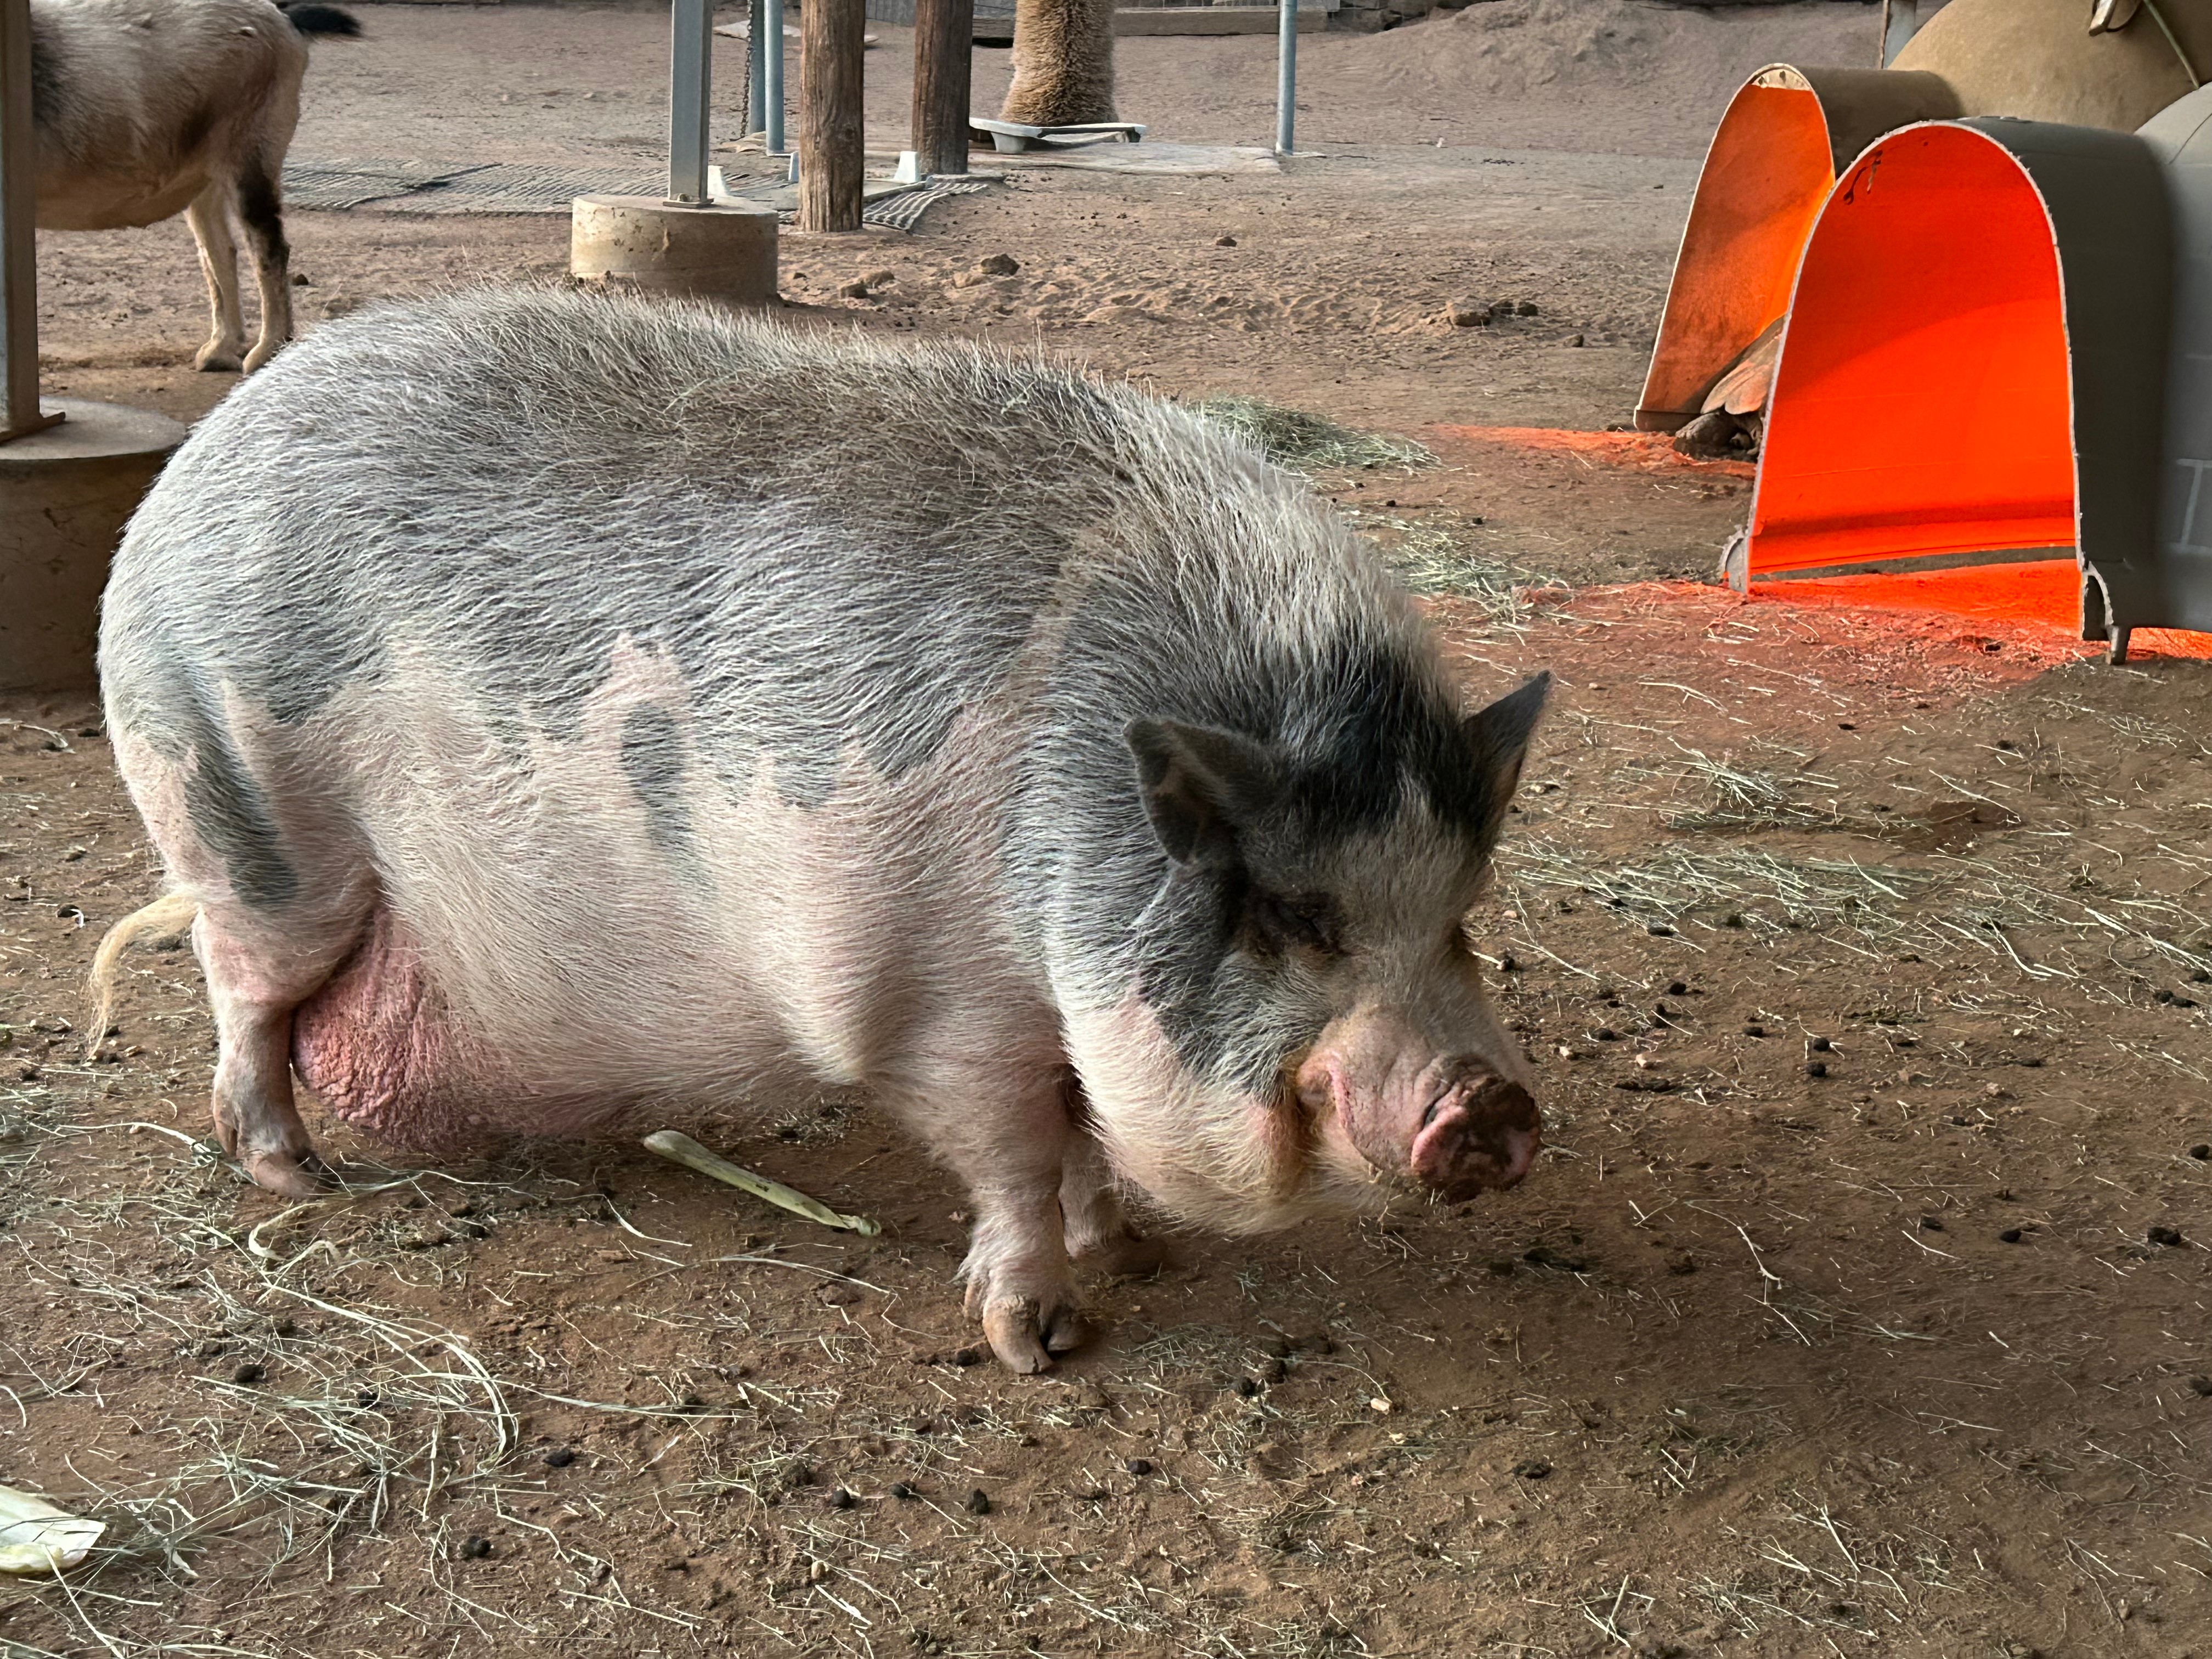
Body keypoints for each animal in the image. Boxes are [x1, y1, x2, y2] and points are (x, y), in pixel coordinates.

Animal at [93, 288, 1549, 1372]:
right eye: (1299, 917)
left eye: (1459, 916)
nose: (1494, 1100)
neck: (1069, 825)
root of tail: (188, 471)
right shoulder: (942, 1007)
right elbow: (1019, 1159)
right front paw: (1040, 1340)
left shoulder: (1058, 1010)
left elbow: (1083, 1133)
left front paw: (1134, 1250)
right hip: (245, 818)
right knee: (239, 985)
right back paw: (294, 1180)